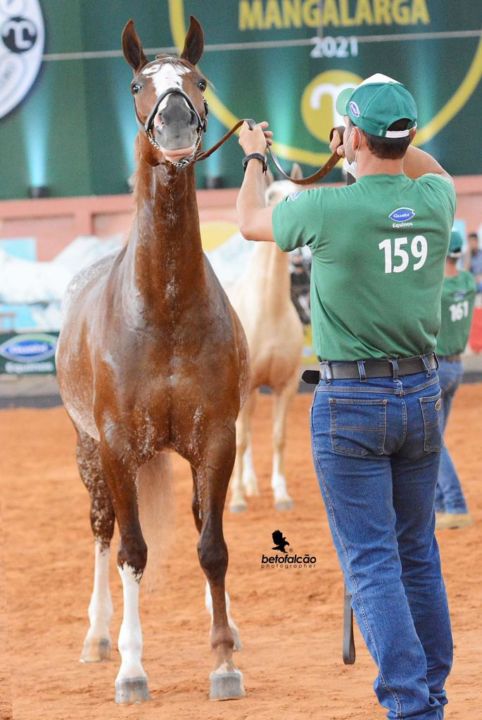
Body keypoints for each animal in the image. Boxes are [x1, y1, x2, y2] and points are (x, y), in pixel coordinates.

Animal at [57, 15, 249, 704]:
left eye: (200, 81)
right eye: (139, 84)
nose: (173, 129)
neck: (163, 311)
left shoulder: (216, 437)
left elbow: (213, 546)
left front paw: (223, 661)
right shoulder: (117, 445)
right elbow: (132, 551)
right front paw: (132, 670)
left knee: (195, 523)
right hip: (89, 454)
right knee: (103, 528)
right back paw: (97, 638)